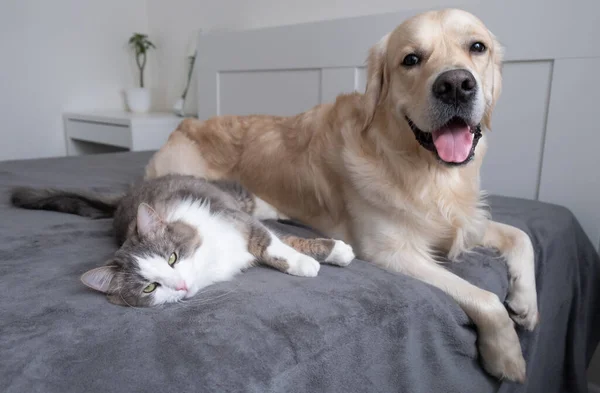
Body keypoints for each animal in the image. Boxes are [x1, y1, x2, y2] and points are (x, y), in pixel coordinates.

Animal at [10, 175, 356, 306]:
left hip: (235, 197)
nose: (180, 286)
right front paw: (320, 257)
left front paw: (330, 254)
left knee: (262, 205)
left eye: (172, 258)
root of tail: (125, 197)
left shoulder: (237, 221)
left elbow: (275, 245)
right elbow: (279, 244)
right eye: (150, 287)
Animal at [144, 9, 540, 382]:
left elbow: (521, 236)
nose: (456, 85)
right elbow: (485, 297)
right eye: (411, 59)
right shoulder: (391, 252)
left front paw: (526, 302)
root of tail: (184, 124)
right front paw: (507, 355)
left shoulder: (465, 224)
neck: (427, 171)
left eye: (477, 47)